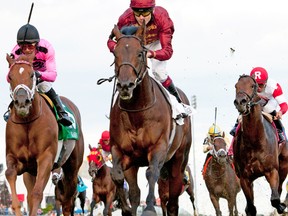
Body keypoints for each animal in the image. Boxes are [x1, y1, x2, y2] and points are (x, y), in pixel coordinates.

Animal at [5, 53, 84, 216]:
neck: (27, 122)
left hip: (72, 168)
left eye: (31, 74)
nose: (22, 102)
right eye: (10, 76)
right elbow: (10, 174)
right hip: (31, 172)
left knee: (68, 201)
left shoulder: (45, 159)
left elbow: (37, 193)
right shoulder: (16, 159)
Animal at [108, 22, 191, 216]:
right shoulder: (122, 152)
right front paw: (126, 208)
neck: (136, 113)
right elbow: (118, 177)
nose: (125, 85)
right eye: (115, 53)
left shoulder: (158, 147)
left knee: (173, 200)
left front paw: (150, 208)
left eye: (140, 53)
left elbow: (151, 172)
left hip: (178, 160)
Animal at [234, 74, 288, 214]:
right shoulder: (244, 178)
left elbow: (275, 199)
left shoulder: (272, 171)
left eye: (252, 86)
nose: (240, 102)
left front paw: (281, 206)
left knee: (280, 188)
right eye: (236, 86)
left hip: (283, 165)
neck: (254, 140)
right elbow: (251, 208)